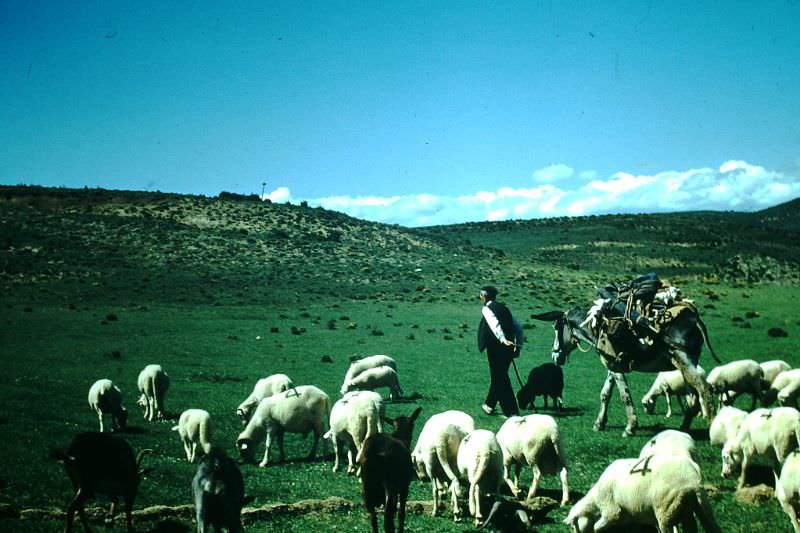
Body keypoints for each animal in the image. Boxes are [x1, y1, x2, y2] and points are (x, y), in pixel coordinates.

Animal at [564, 450, 724, 528]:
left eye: (572, 527)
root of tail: (691, 478)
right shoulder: (631, 519)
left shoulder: (612, 512)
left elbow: (596, 528)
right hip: (699, 506)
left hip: (665, 510)